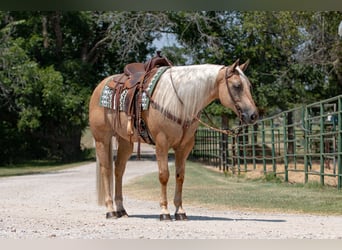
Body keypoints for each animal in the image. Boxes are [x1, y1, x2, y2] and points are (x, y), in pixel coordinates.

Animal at [89, 58, 258, 221]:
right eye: (237, 86)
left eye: (249, 86)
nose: (253, 115)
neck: (179, 102)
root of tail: (101, 86)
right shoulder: (161, 144)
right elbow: (164, 175)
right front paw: (164, 212)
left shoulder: (184, 147)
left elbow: (180, 176)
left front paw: (180, 211)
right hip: (102, 139)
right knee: (106, 170)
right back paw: (110, 210)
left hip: (125, 141)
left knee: (118, 170)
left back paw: (121, 210)